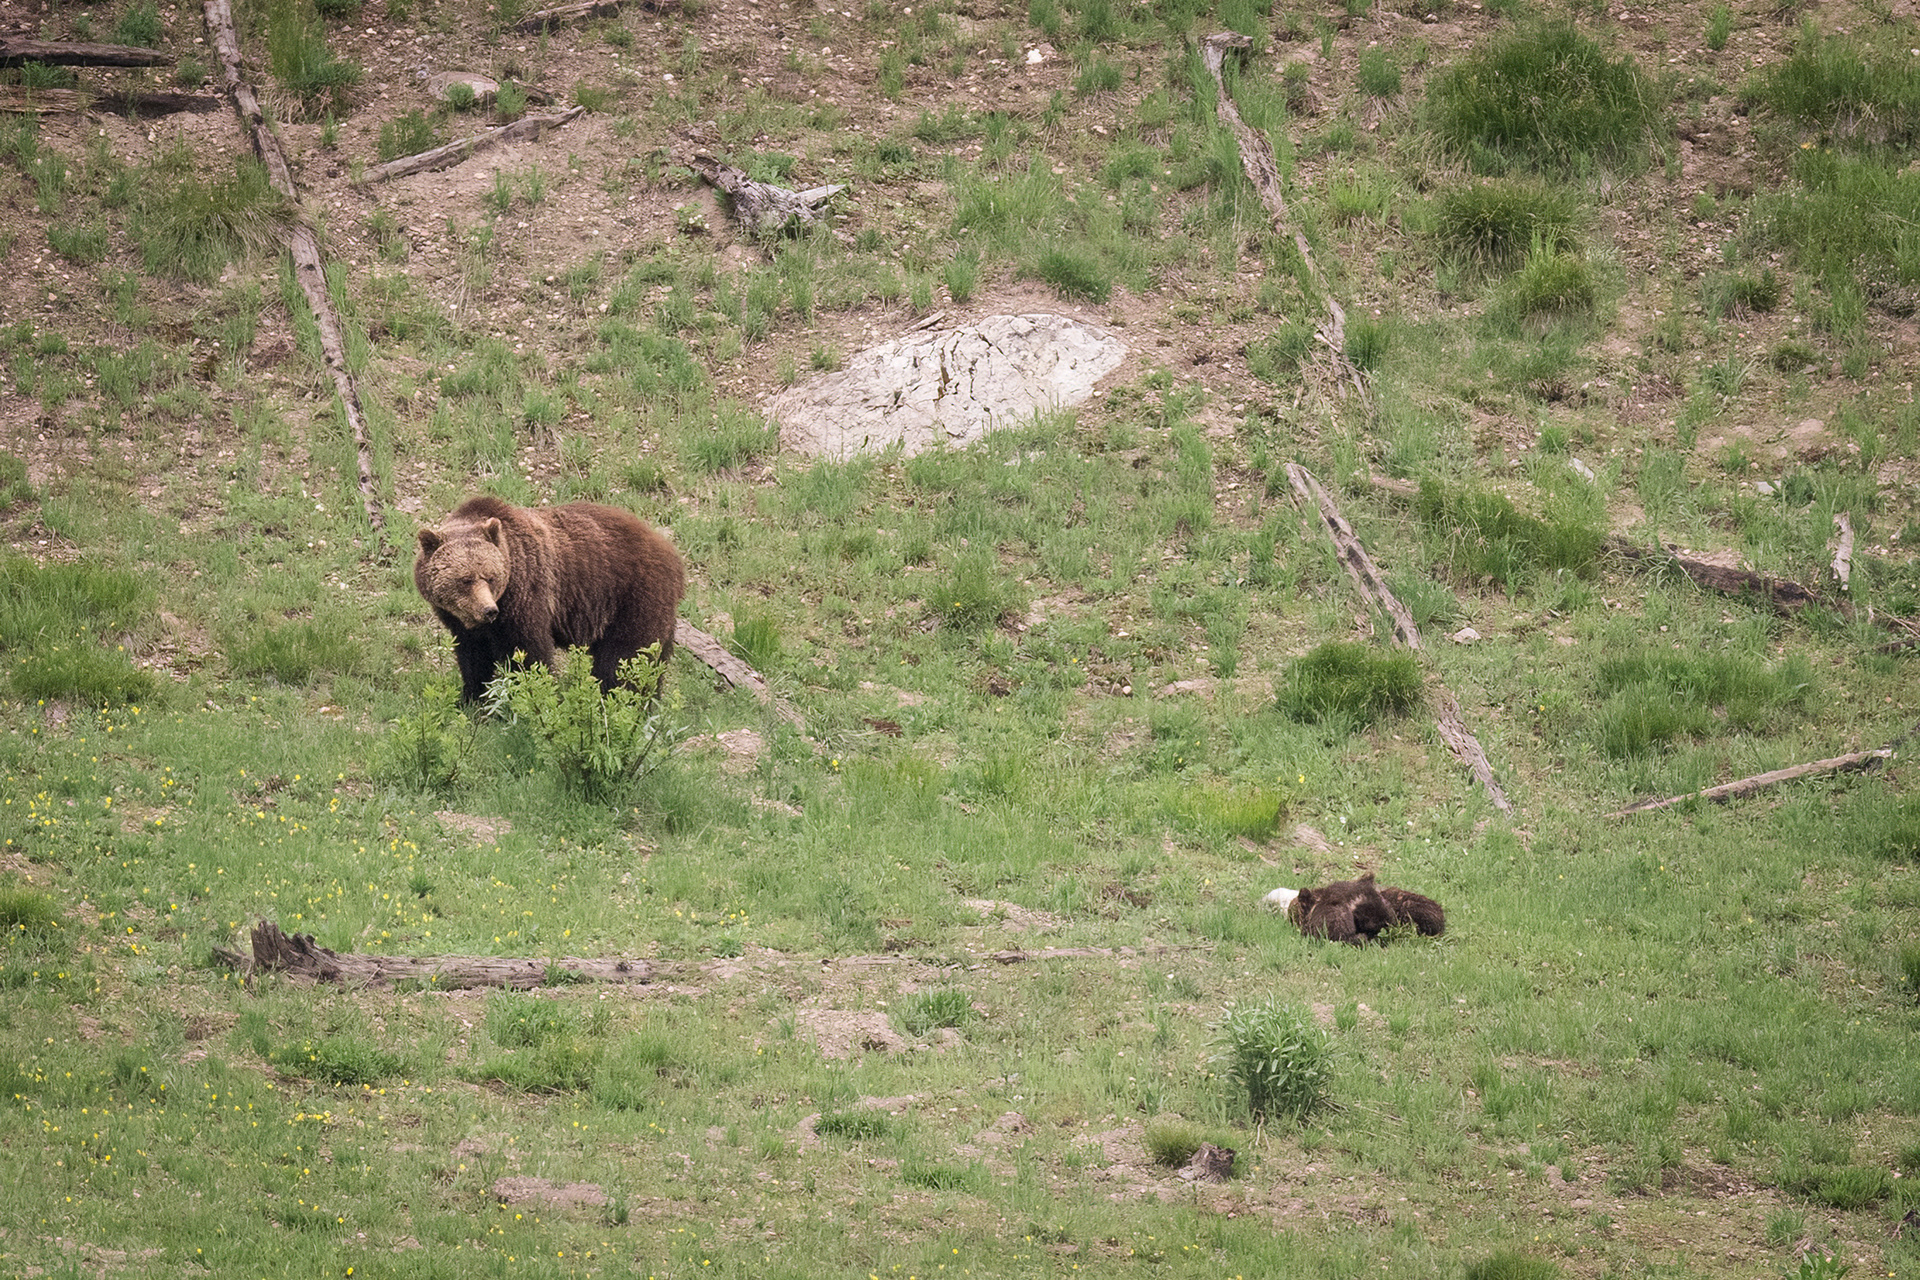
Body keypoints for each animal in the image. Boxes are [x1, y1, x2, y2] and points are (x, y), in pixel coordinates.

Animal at [414, 495, 685, 704]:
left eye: (490, 577)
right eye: (465, 579)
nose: (488, 610)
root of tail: (671, 551)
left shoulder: (525, 594)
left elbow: (529, 651)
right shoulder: (463, 626)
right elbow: (473, 658)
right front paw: (472, 699)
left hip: (633, 595)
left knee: (626, 656)